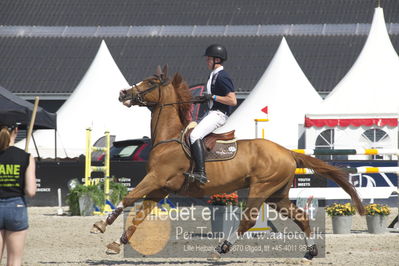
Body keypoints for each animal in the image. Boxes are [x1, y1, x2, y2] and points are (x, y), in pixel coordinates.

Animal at [91, 65, 366, 260]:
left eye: (150, 82)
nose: (123, 94)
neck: (168, 139)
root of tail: (287, 151)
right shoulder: (160, 188)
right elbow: (139, 215)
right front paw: (117, 243)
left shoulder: (155, 179)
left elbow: (128, 199)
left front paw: (100, 225)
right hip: (277, 195)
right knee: (300, 217)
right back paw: (310, 251)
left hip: (261, 189)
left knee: (248, 221)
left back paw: (220, 249)